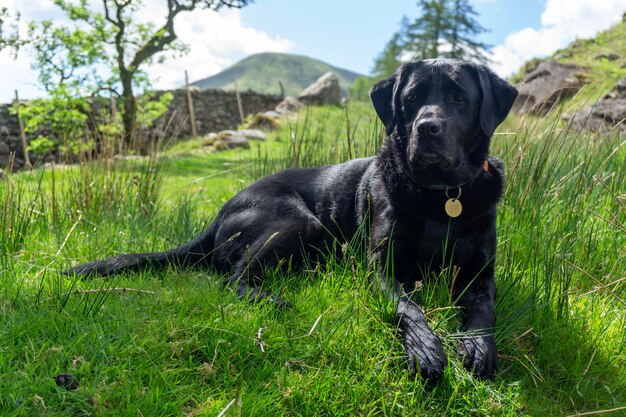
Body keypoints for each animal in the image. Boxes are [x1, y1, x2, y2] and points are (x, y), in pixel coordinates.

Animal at [68, 58, 516, 380]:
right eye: (410, 98)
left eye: (460, 98)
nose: (428, 127)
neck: (441, 199)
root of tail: (219, 214)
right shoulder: (383, 268)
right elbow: (409, 309)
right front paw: (426, 351)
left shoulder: (481, 275)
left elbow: (484, 313)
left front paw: (478, 349)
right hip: (297, 223)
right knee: (231, 279)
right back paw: (273, 299)